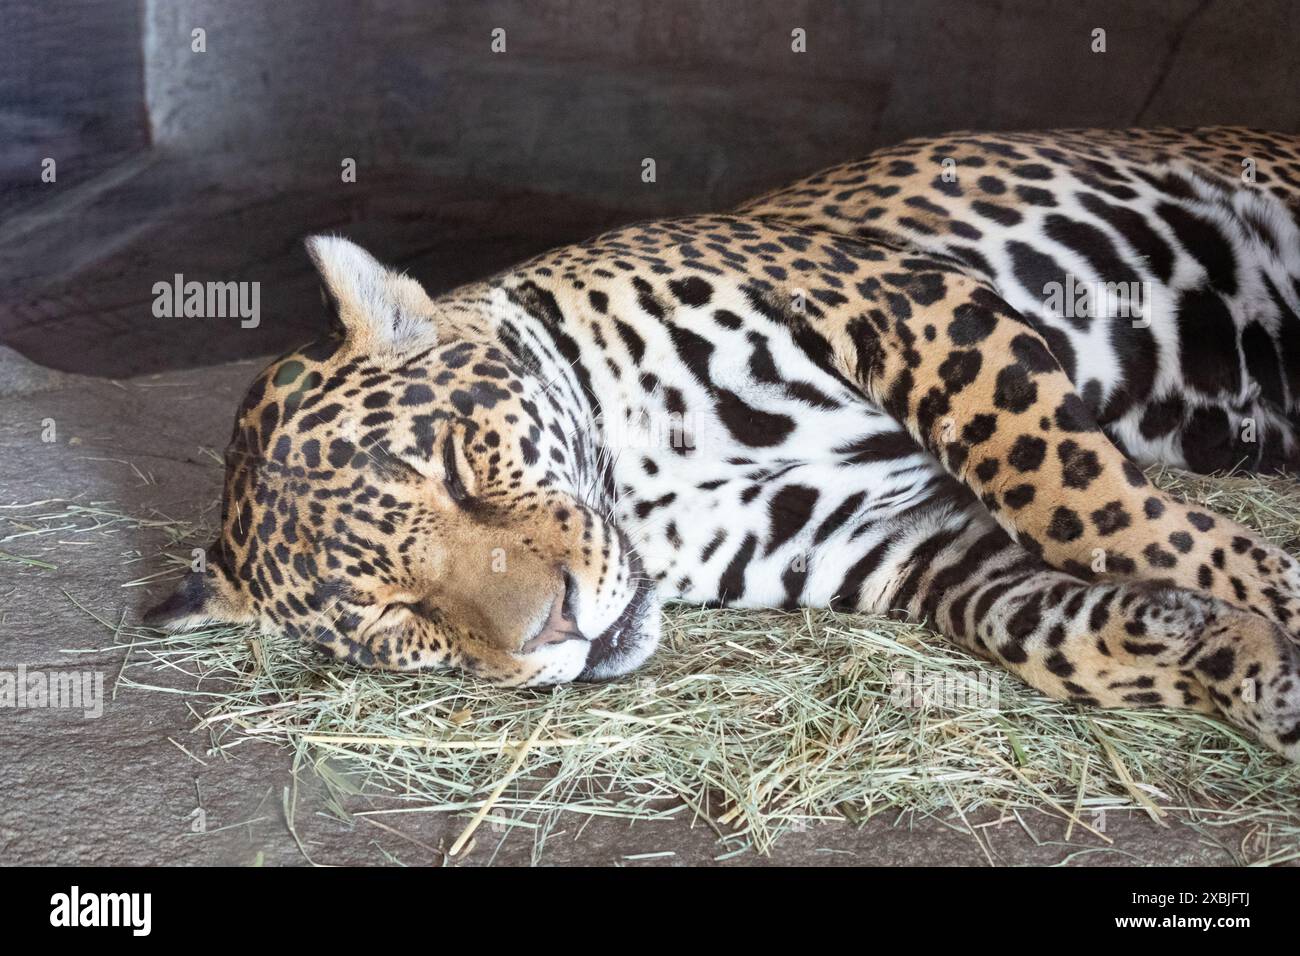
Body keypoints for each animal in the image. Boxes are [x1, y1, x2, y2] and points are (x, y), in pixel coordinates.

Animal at [147, 127, 1300, 759]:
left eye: (462, 466)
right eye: (400, 620)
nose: (558, 631)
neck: (642, 481)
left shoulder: (913, 306)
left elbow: (1079, 499)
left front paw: (1273, 596)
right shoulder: (903, 544)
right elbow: (1046, 626)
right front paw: (1238, 659)